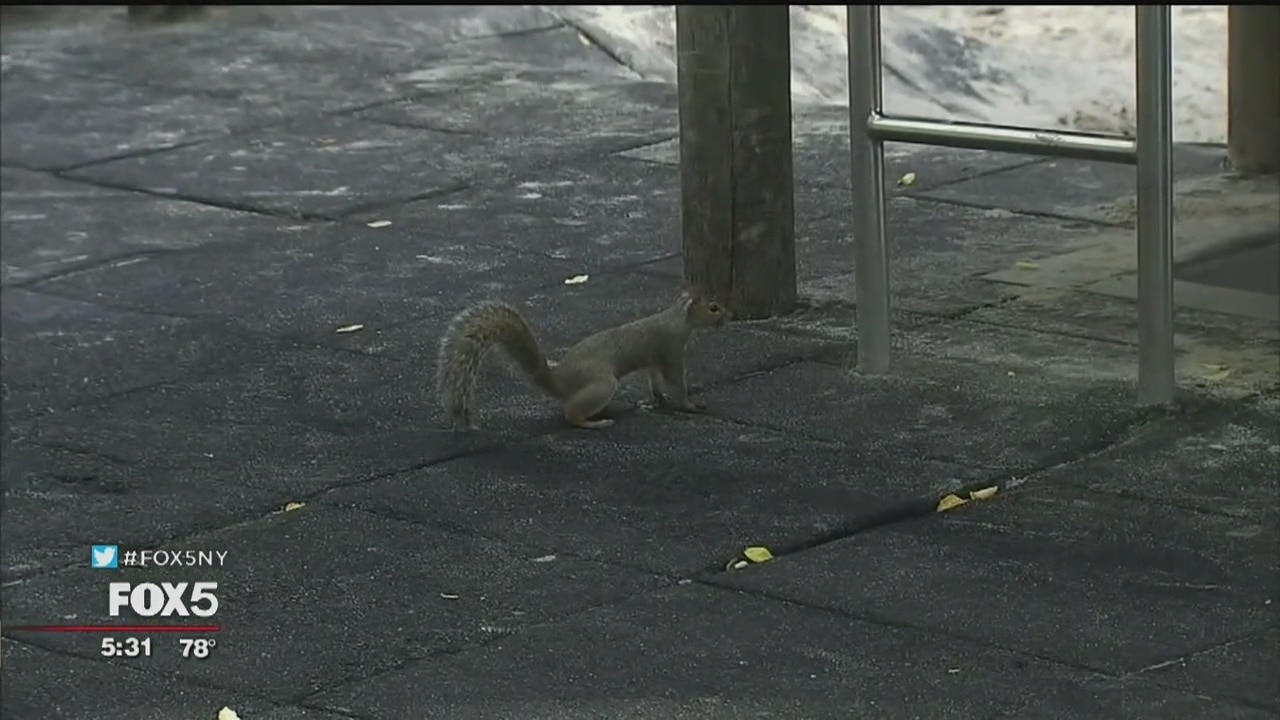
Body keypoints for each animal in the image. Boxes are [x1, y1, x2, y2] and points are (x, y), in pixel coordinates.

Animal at [436, 289, 731, 430]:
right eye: (713, 307)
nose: (729, 315)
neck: (677, 318)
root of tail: (557, 379)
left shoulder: (656, 358)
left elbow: (656, 378)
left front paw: (659, 398)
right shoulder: (670, 349)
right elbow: (676, 380)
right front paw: (690, 404)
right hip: (602, 383)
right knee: (570, 414)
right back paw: (594, 423)